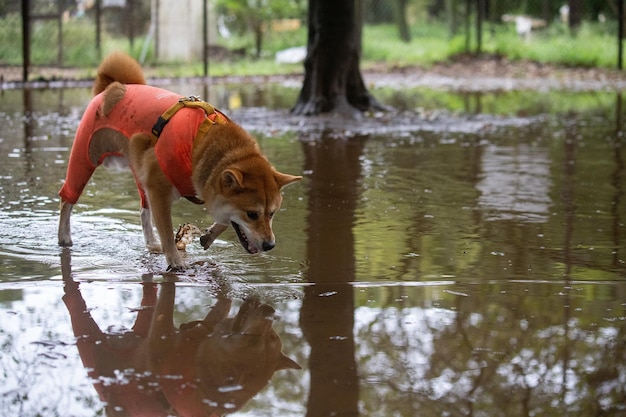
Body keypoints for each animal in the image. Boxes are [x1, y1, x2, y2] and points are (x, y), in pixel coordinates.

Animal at [57, 51, 302, 270]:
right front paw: (175, 261)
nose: (270, 245)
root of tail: (113, 86)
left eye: (272, 213)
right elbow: (167, 230)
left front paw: (208, 236)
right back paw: (64, 237)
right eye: (252, 214)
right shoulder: (159, 189)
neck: (201, 145)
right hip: (85, 157)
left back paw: (151, 244)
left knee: (144, 212)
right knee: (66, 200)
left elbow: (223, 219)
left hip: (138, 173)